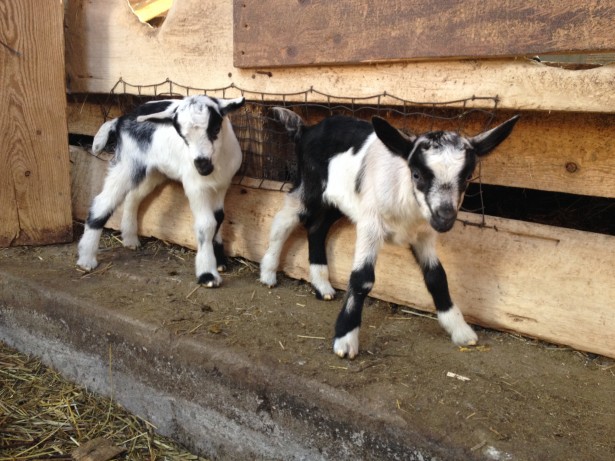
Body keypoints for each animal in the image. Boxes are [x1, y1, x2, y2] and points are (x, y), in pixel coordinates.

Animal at [78, 95, 247, 286]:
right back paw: (86, 259)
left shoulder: (221, 185)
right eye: (183, 136)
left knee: (133, 196)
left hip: (153, 171)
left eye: (216, 128)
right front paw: (207, 274)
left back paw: (130, 239)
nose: (202, 166)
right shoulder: (195, 186)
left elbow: (218, 218)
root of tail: (122, 119)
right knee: (103, 202)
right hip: (128, 163)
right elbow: (207, 224)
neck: (216, 165)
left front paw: (219, 261)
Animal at [260, 108, 520, 360]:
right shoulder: (370, 224)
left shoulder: (423, 234)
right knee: (284, 221)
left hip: (339, 201)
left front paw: (460, 329)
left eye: (467, 177)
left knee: (316, 228)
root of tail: (307, 129)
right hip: (310, 187)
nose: (445, 217)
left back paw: (322, 286)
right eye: (416, 174)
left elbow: (436, 276)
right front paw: (345, 339)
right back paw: (268, 274)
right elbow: (362, 278)